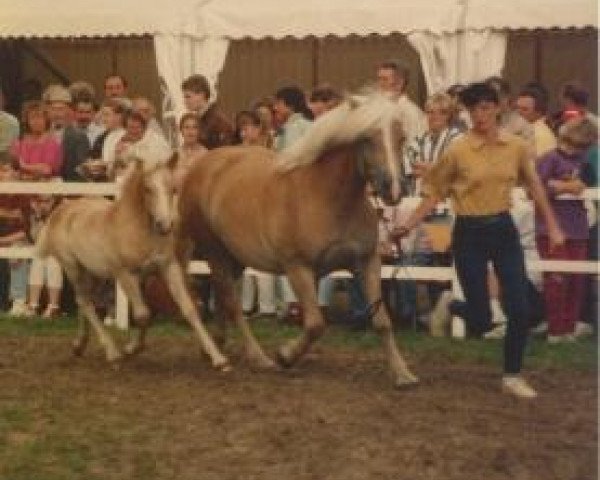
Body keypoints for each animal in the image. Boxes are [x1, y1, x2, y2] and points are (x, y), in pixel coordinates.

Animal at [37, 156, 230, 370]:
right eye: (147, 189)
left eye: (173, 188)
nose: (165, 225)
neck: (138, 230)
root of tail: (63, 210)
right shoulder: (126, 275)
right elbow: (143, 314)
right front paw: (130, 349)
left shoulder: (166, 268)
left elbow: (188, 309)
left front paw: (219, 359)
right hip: (74, 268)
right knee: (85, 302)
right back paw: (112, 354)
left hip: (95, 274)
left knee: (84, 302)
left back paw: (79, 345)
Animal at [179, 93, 418, 386]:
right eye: (366, 138)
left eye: (400, 138)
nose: (393, 190)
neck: (326, 197)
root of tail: (201, 166)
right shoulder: (298, 268)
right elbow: (315, 324)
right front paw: (285, 356)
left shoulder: (367, 262)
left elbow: (382, 320)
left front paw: (402, 374)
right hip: (216, 253)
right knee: (232, 303)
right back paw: (258, 357)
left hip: (235, 257)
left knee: (222, 297)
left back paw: (214, 347)